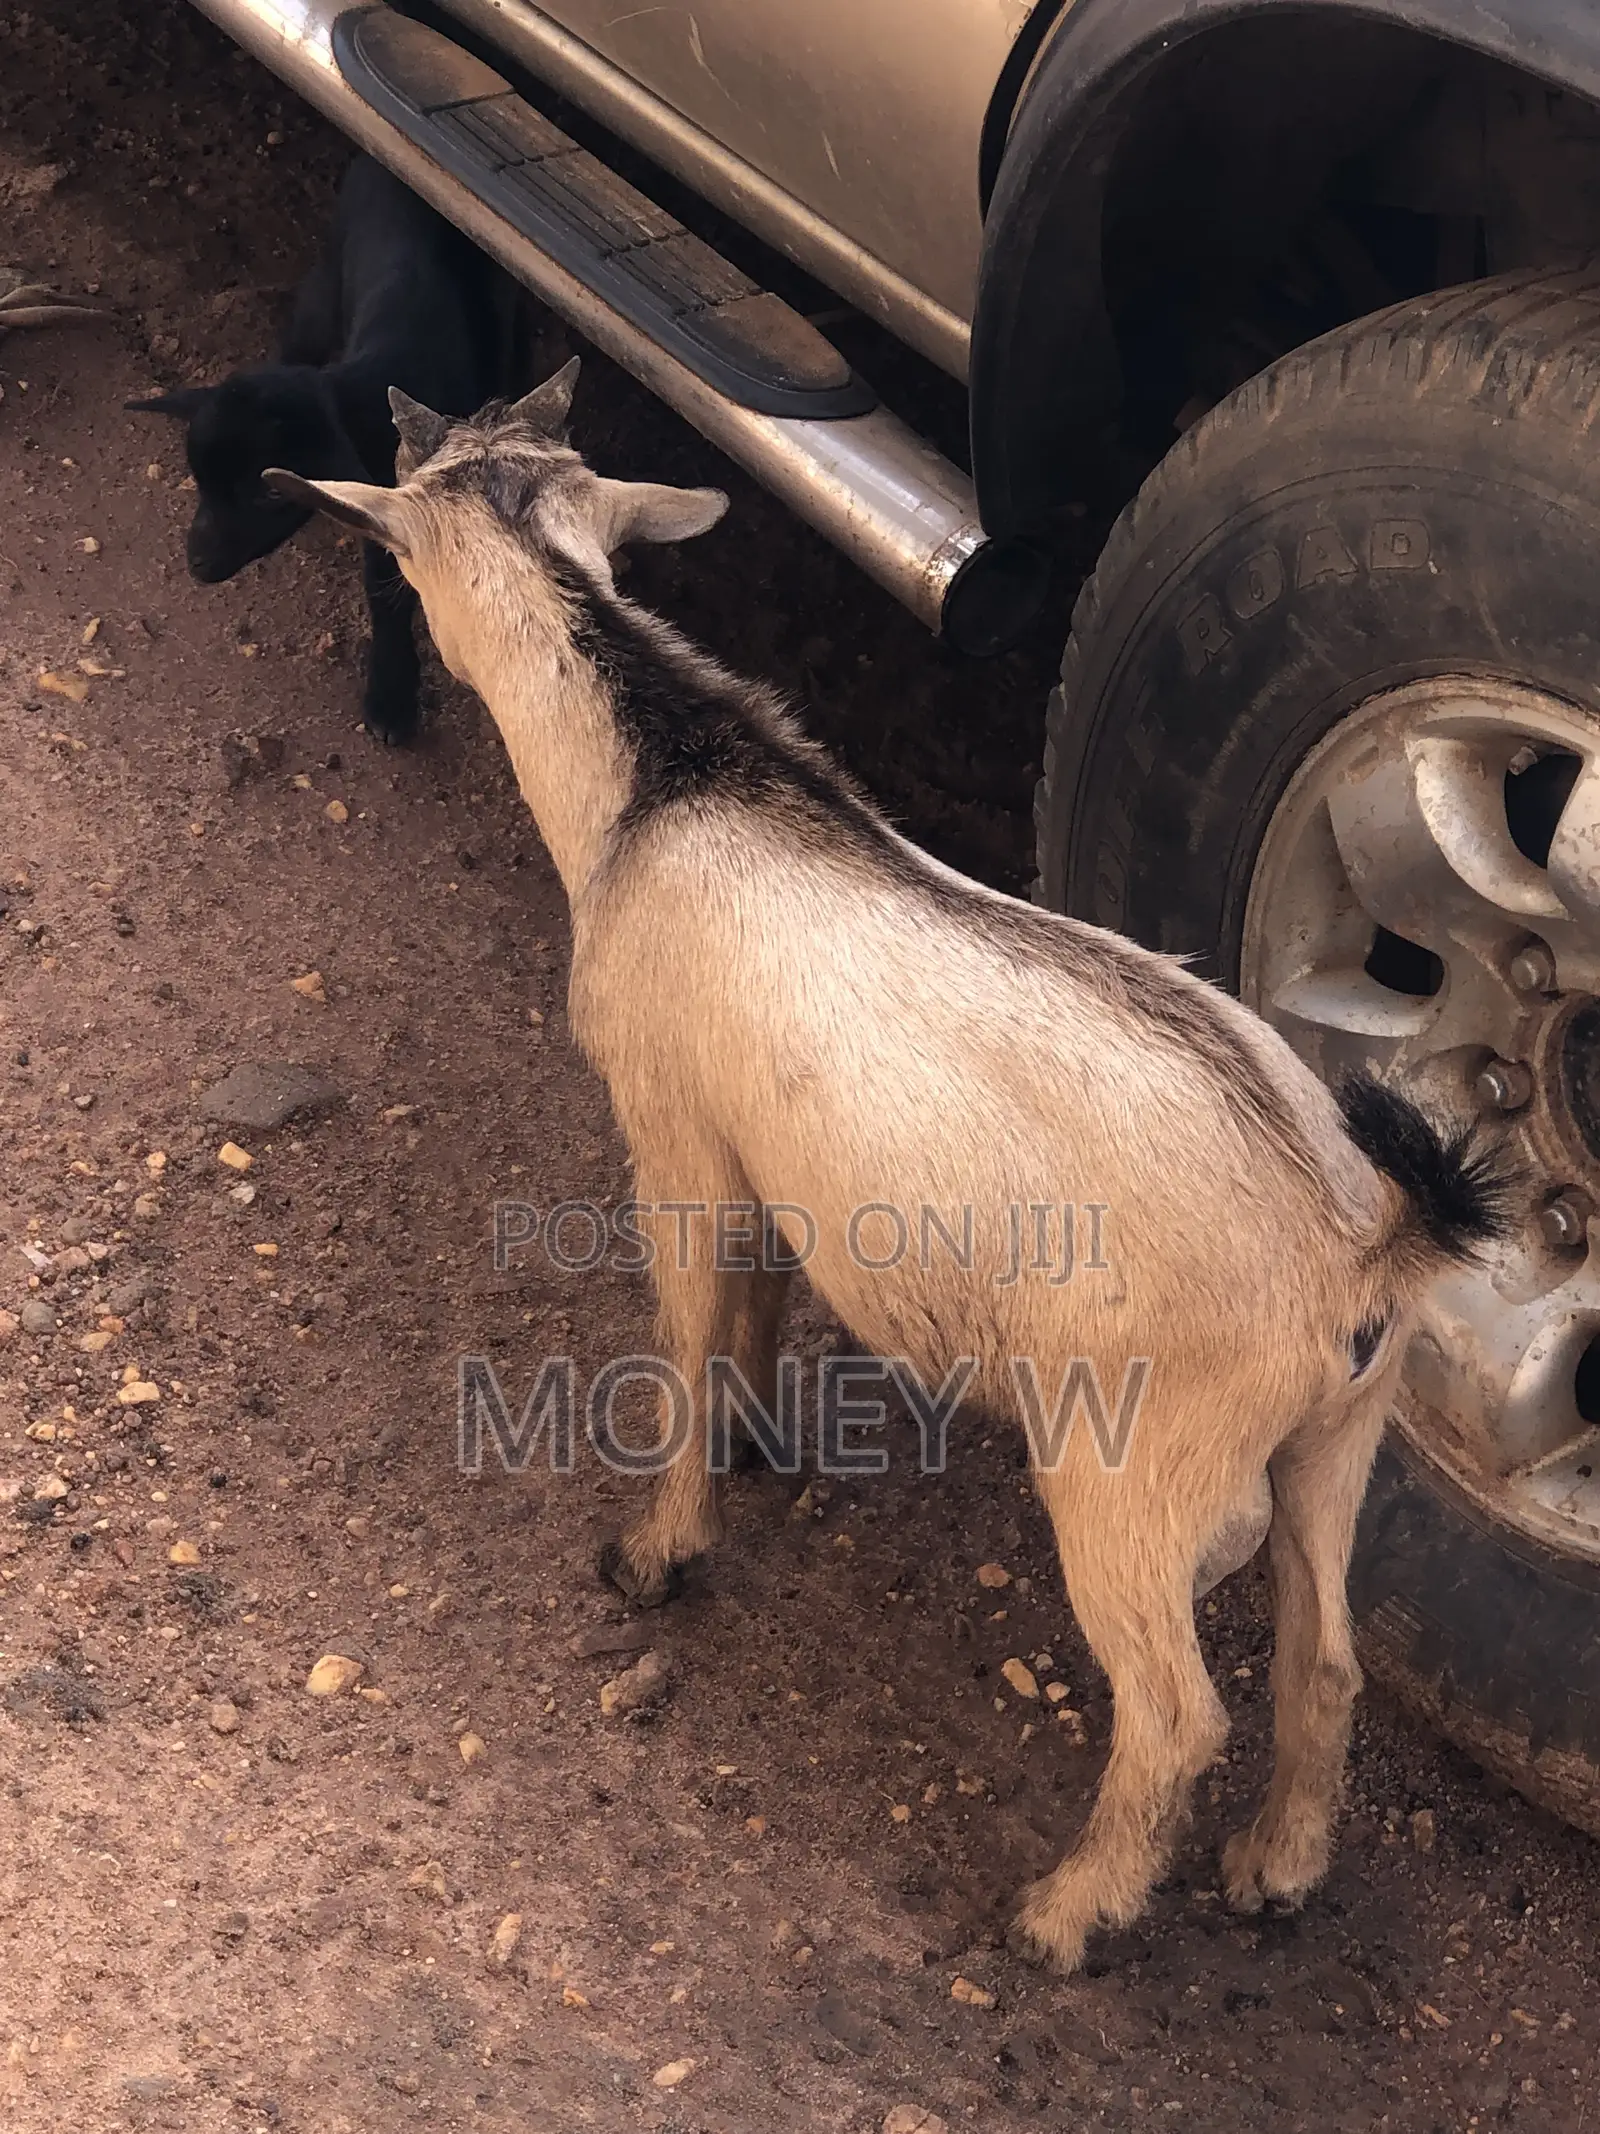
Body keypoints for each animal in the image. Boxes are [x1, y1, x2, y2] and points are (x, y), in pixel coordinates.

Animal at [265, 365, 1507, 1972]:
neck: (666, 786)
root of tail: (1361, 1239)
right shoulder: (769, 1155)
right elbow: (754, 1302)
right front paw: (749, 1439)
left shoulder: (673, 1128)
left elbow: (684, 1324)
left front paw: (658, 1549)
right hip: (1340, 1430)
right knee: (1328, 1655)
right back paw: (1275, 1868)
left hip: (1130, 1456)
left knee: (1176, 1709)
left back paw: (1069, 1912)